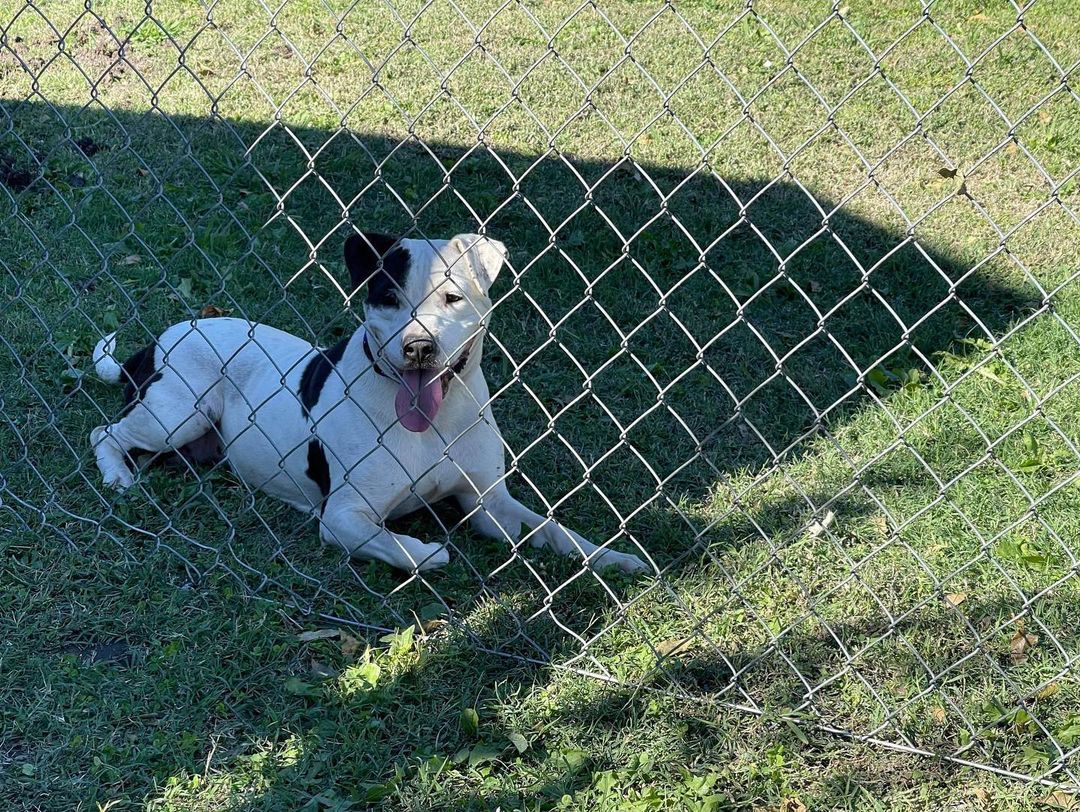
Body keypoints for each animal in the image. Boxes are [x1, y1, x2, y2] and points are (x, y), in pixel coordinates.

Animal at [90, 233, 648, 578]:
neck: (436, 421)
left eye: (452, 298)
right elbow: (408, 550)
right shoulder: (343, 516)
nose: (419, 347)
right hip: (175, 416)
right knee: (104, 433)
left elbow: (557, 531)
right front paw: (427, 550)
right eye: (387, 297)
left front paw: (615, 558)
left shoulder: (490, 504)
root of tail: (160, 338)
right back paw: (117, 475)